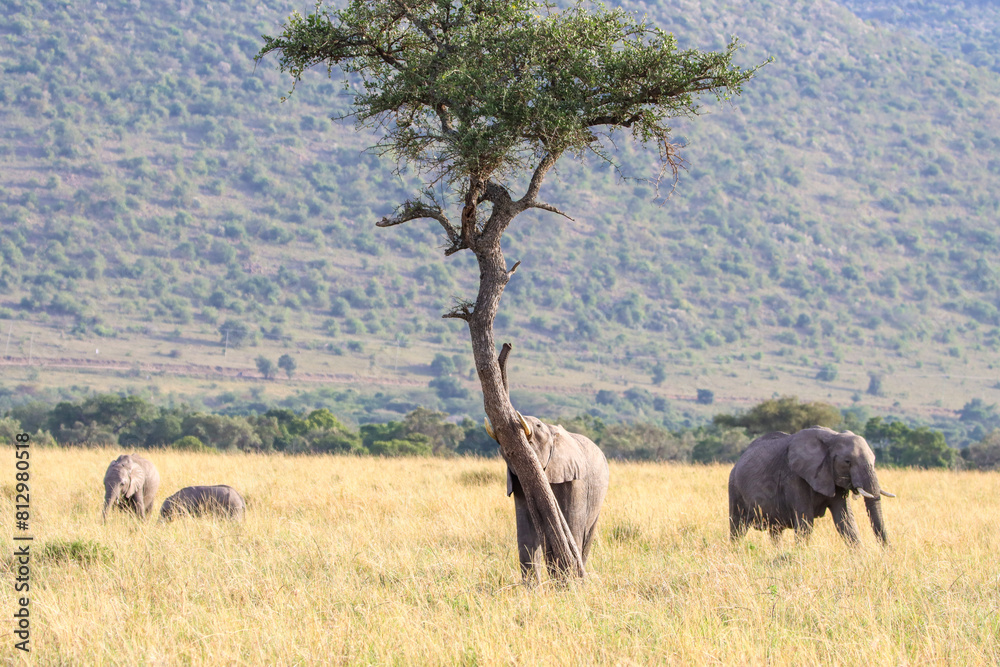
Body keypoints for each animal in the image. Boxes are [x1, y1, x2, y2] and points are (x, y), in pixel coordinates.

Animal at [486, 414, 609, 581]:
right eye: (505, 453)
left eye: (538, 425)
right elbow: (526, 536)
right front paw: (534, 588)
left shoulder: (576, 480)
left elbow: (573, 529)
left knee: (586, 537)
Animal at [728, 427, 895, 546]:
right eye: (847, 462)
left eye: (874, 459)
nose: (887, 551)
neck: (832, 437)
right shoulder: (794, 477)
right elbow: (805, 519)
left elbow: (846, 520)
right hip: (734, 487)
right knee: (738, 527)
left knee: (775, 531)